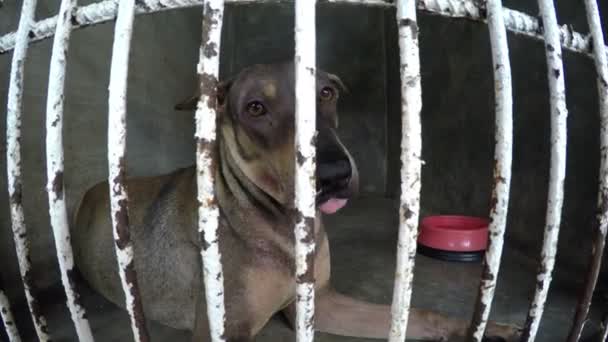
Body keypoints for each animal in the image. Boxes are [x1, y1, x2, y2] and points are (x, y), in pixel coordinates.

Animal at [71, 62, 516, 342]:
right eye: (255, 108)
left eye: (326, 92)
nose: (335, 174)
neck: (279, 221)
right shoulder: (223, 329)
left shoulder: (325, 301)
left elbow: (415, 315)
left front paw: (487, 328)